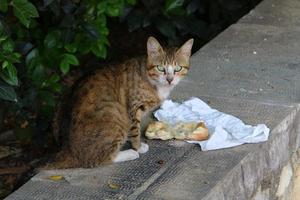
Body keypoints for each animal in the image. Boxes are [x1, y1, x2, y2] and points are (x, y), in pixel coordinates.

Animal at [50, 36, 193, 168]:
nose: (169, 79)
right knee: (99, 159)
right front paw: (138, 147)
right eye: (160, 68)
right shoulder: (134, 108)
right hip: (116, 120)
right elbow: (135, 130)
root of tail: (68, 150)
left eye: (178, 68)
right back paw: (129, 154)